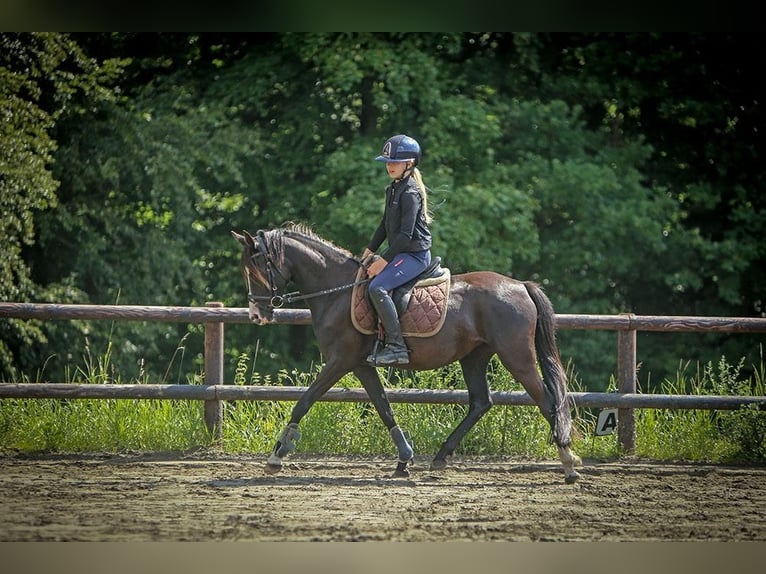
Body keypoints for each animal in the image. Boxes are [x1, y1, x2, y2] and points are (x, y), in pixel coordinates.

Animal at [234, 223, 584, 484]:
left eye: (256, 267)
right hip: (474, 356)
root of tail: (521, 285)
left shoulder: (340, 361)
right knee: (481, 402)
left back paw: (569, 463)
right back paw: (441, 457)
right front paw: (404, 460)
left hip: (517, 357)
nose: (257, 315)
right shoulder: (360, 365)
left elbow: (304, 401)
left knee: (548, 401)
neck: (336, 290)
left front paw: (276, 455)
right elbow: (384, 407)